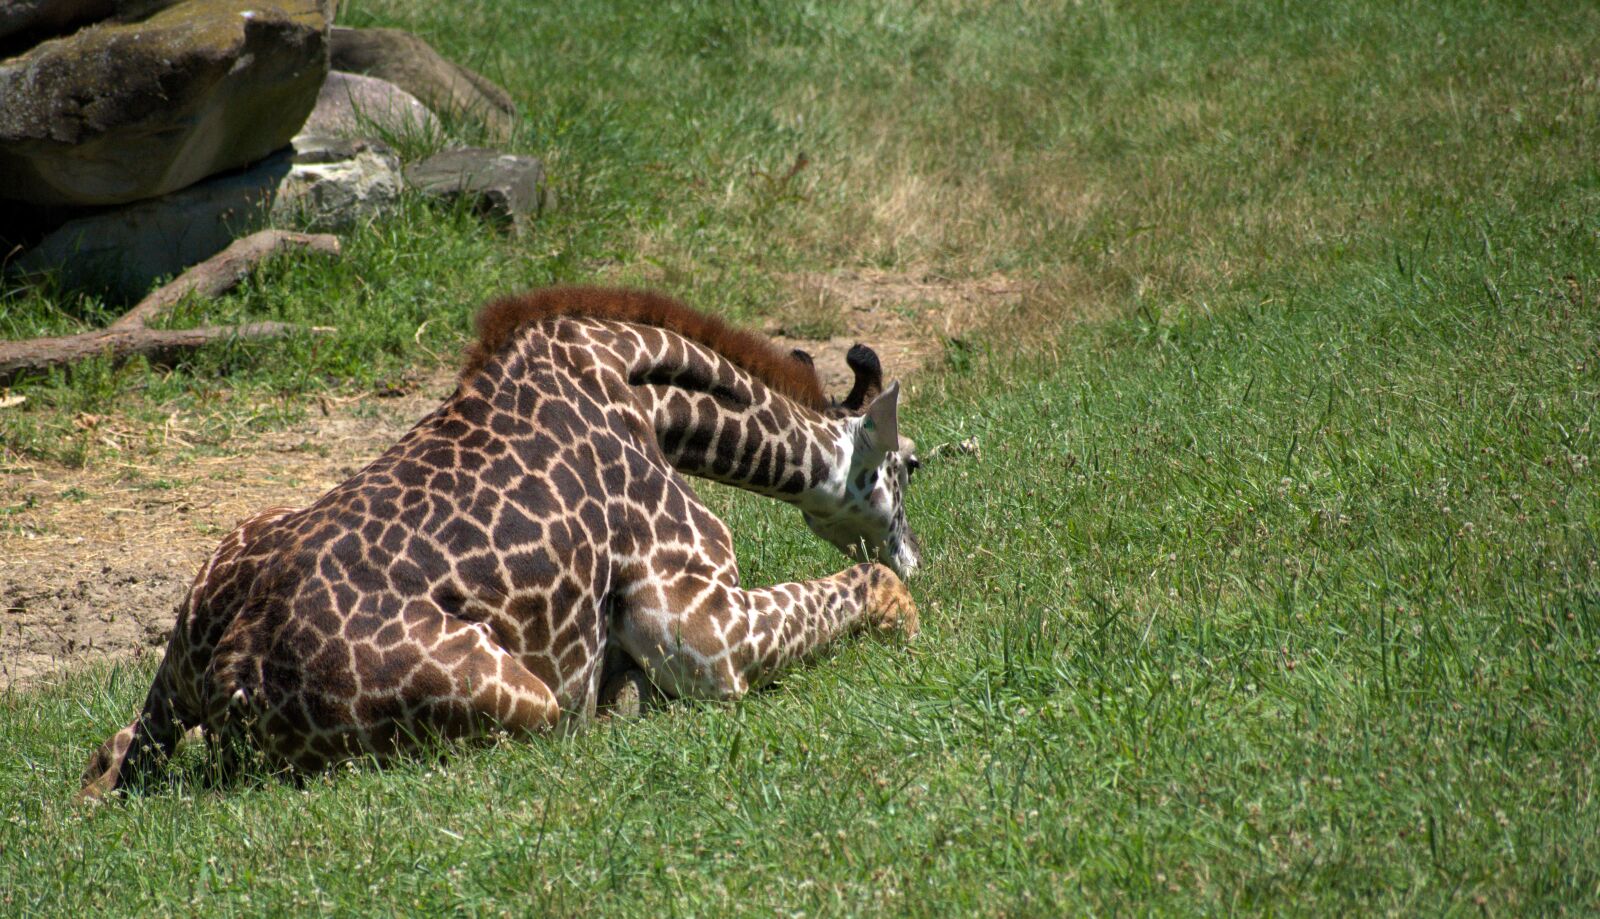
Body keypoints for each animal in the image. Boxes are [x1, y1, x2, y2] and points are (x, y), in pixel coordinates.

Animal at [79, 287, 922, 800]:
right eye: (911, 465)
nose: (913, 552)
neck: (637, 389)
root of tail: (233, 673)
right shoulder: (703, 630)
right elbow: (855, 594)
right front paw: (910, 622)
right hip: (527, 705)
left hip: (187, 638)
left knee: (116, 752)